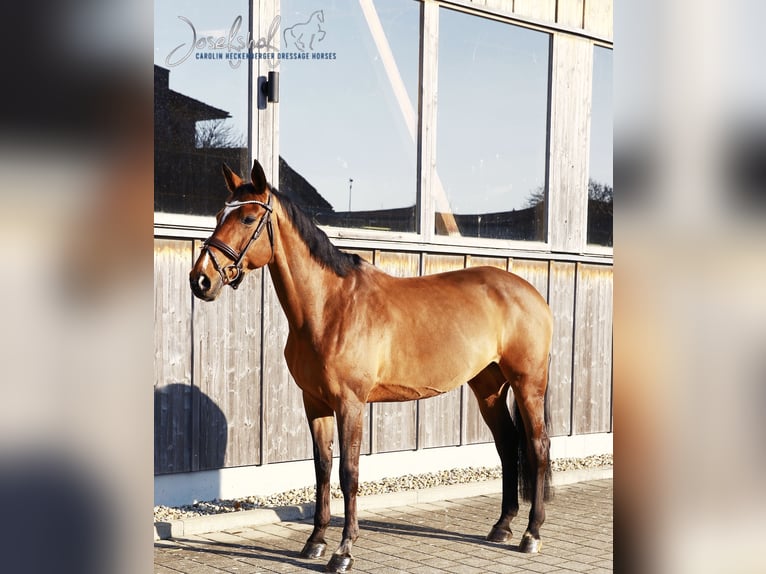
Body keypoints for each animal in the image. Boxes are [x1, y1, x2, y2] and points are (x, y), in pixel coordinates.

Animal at [190, 160, 556, 572]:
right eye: (219, 215)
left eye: (248, 217)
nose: (200, 279)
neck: (329, 307)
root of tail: (530, 294)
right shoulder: (315, 403)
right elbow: (321, 469)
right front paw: (314, 542)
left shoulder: (350, 404)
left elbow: (349, 473)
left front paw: (344, 551)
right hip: (488, 388)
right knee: (508, 445)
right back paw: (502, 526)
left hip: (528, 384)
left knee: (538, 447)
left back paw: (531, 534)